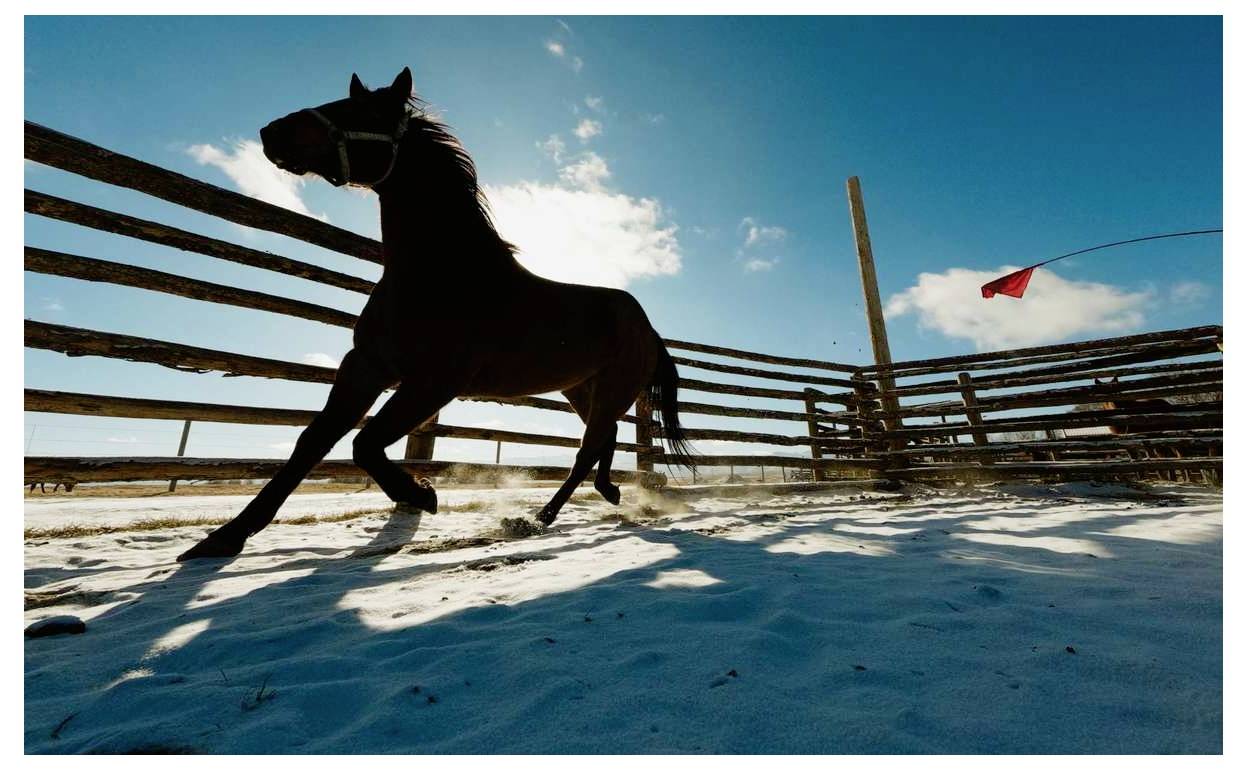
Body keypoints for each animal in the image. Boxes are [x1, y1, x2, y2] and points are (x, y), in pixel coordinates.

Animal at [178, 68, 695, 561]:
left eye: (362, 111)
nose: (272, 133)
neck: (437, 276)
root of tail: (647, 326)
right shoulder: (365, 366)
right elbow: (313, 442)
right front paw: (225, 537)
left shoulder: (434, 382)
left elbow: (365, 444)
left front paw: (422, 494)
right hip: (580, 388)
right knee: (603, 439)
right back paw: (604, 493)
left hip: (612, 389)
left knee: (590, 447)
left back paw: (543, 515)